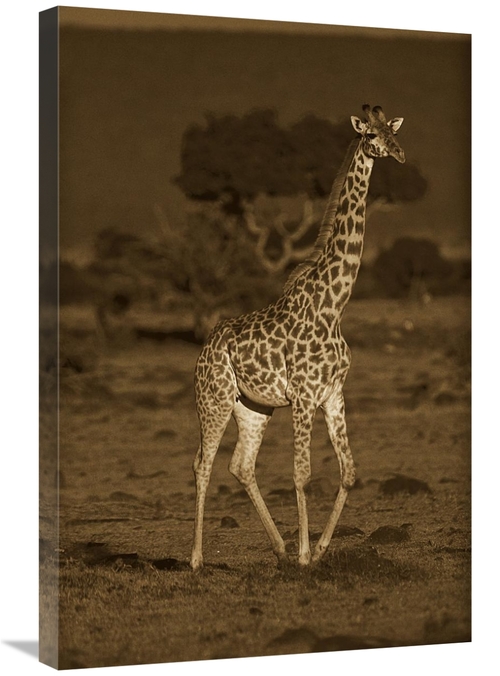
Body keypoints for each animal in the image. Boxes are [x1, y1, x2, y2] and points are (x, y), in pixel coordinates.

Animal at [190, 105, 405, 571]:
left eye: (393, 131)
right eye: (370, 135)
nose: (398, 153)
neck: (334, 304)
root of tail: (204, 349)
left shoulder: (333, 394)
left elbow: (349, 471)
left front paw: (319, 549)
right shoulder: (304, 397)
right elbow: (302, 474)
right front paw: (308, 554)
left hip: (253, 407)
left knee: (241, 465)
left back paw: (279, 548)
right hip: (213, 400)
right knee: (202, 464)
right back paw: (196, 559)